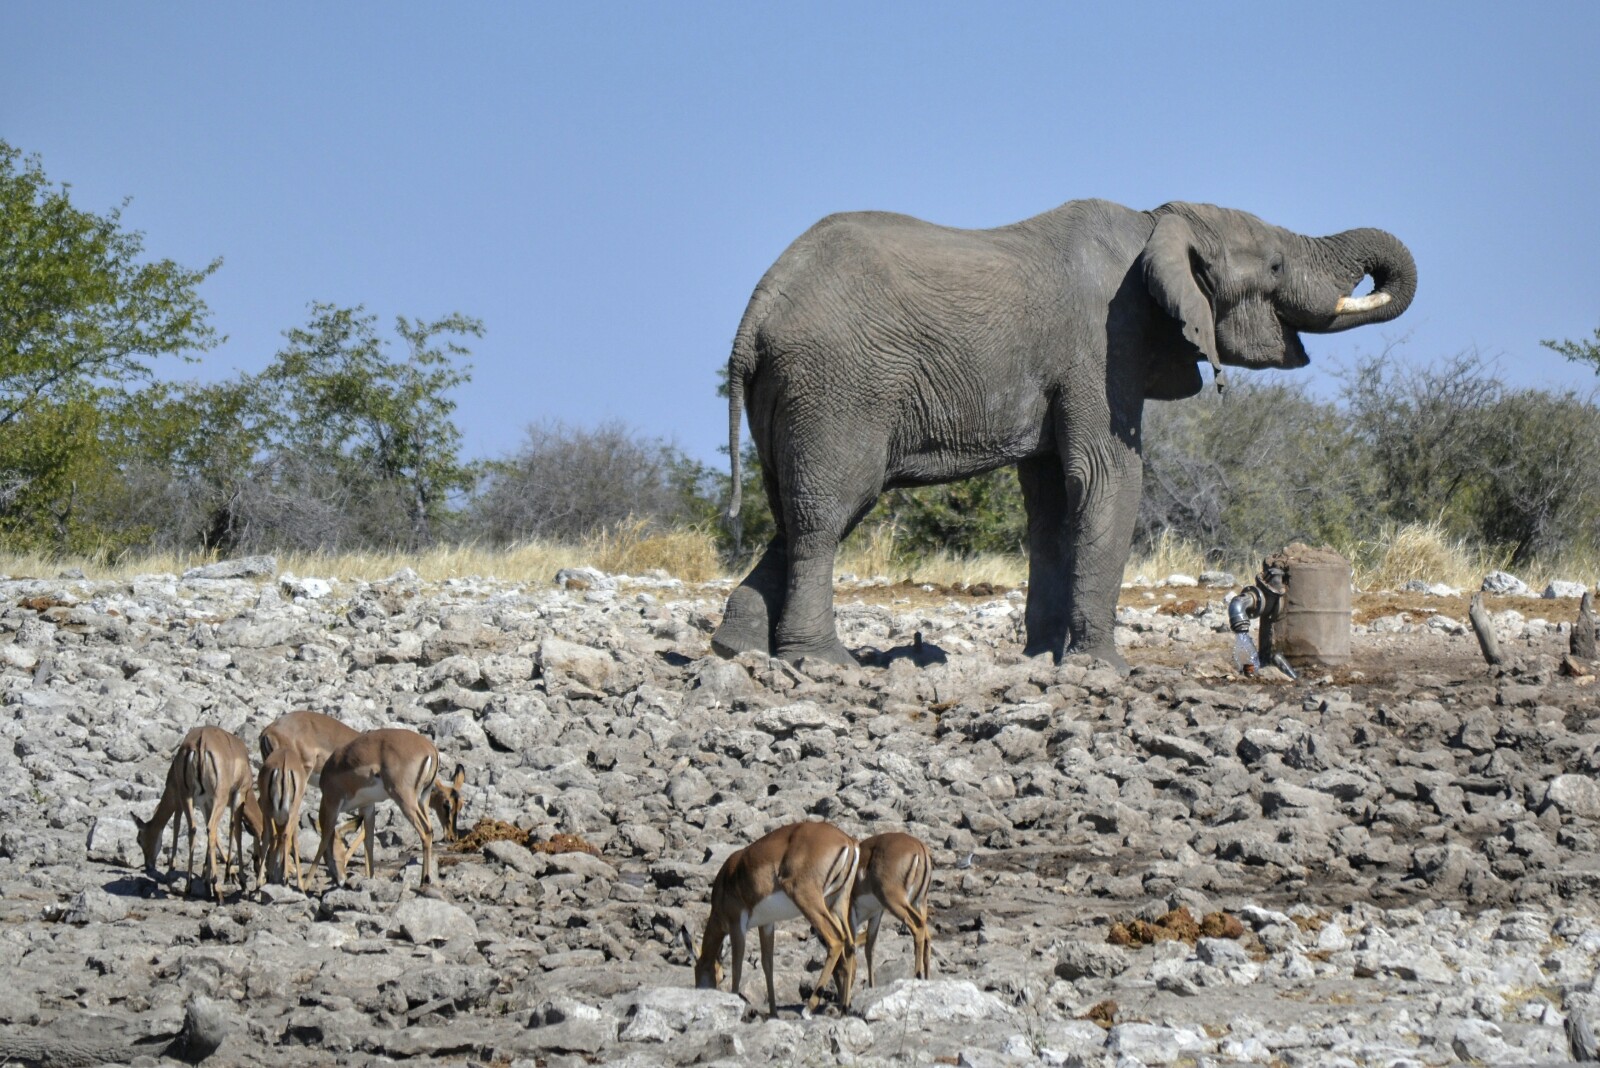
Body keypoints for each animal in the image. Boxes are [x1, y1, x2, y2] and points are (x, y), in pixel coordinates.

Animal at [711, 199, 1416, 669]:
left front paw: (1043, 659)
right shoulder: (1103, 344)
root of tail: (758, 307)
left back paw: (735, 649)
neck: (1158, 223)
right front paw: (1101, 668)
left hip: (793, 392)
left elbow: (1052, 501)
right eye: (1272, 265)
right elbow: (1109, 477)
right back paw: (821, 662)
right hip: (837, 385)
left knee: (796, 514)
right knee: (830, 513)